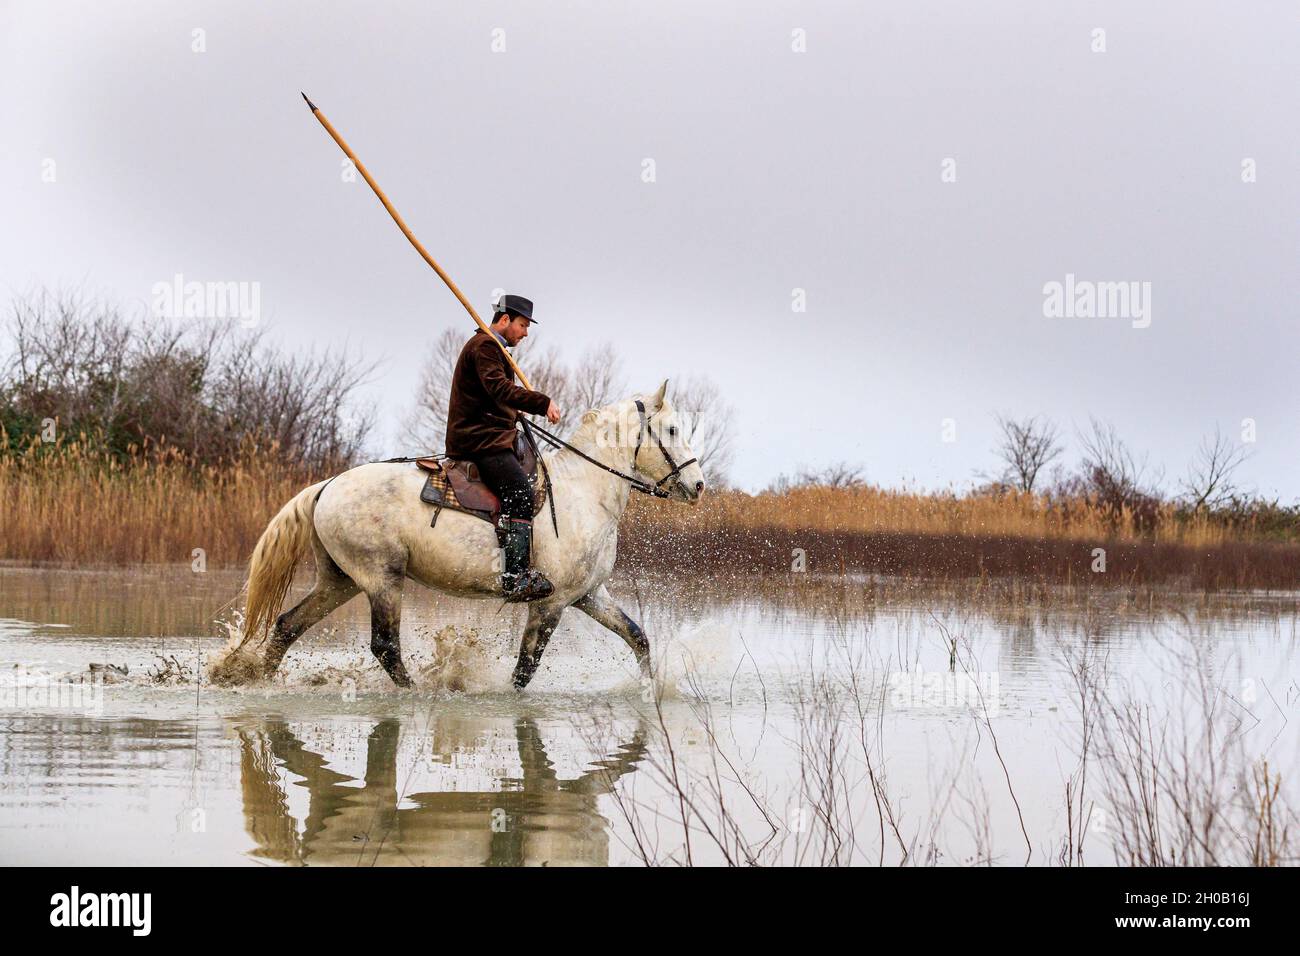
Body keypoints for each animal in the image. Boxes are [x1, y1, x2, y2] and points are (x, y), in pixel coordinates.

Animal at [208, 382, 707, 697]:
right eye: (673, 430)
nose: (699, 485)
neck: (585, 489)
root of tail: (327, 486)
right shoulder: (551, 603)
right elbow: (525, 668)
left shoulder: (588, 595)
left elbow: (638, 637)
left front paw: (650, 689)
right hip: (382, 580)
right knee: (385, 647)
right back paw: (416, 691)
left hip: (340, 581)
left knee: (288, 625)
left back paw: (260, 680)